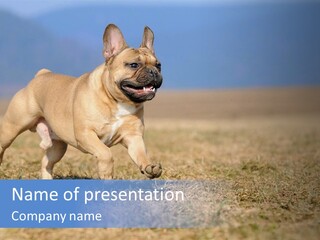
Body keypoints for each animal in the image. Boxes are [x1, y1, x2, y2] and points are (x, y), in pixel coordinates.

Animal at [0, 24, 162, 179]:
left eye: (159, 65)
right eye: (134, 65)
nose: (153, 72)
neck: (116, 100)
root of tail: (41, 75)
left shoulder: (133, 137)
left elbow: (141, 154)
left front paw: (150, 167)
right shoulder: (86, 133)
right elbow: (105, 153)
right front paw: (106, 172)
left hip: (58, 146)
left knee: (46, 162)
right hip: (12, 127)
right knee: (3, 145)